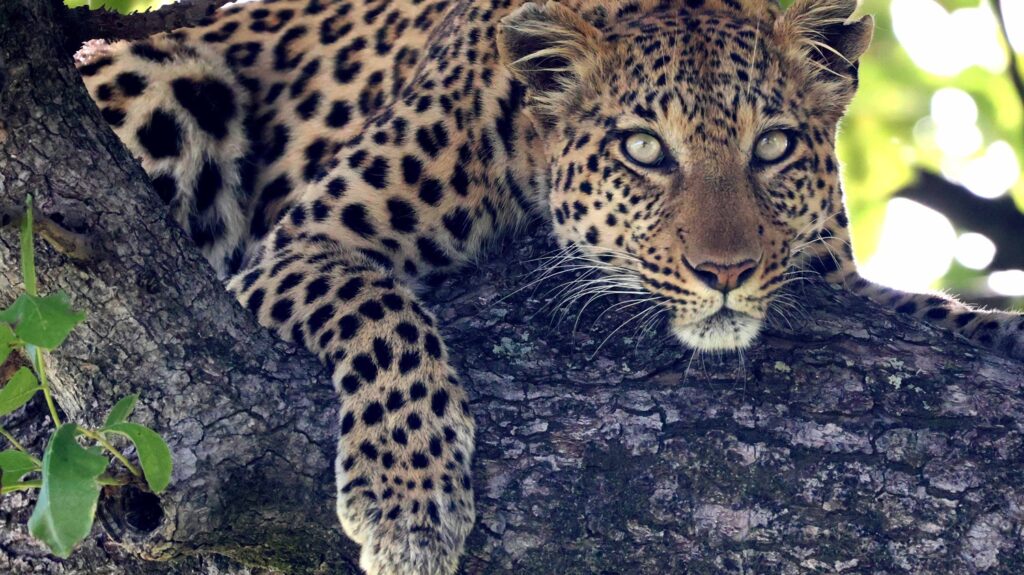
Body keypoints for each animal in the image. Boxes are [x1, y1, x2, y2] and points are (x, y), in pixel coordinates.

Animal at [75, 0, 1024, 572]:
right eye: (644, 149)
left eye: (774, 146)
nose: (725, 271)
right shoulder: (300, 247)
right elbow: (385, 317)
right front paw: (409, 502)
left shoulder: (835, 279)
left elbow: (933, 311)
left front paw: (1000, 330)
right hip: (165, 80)